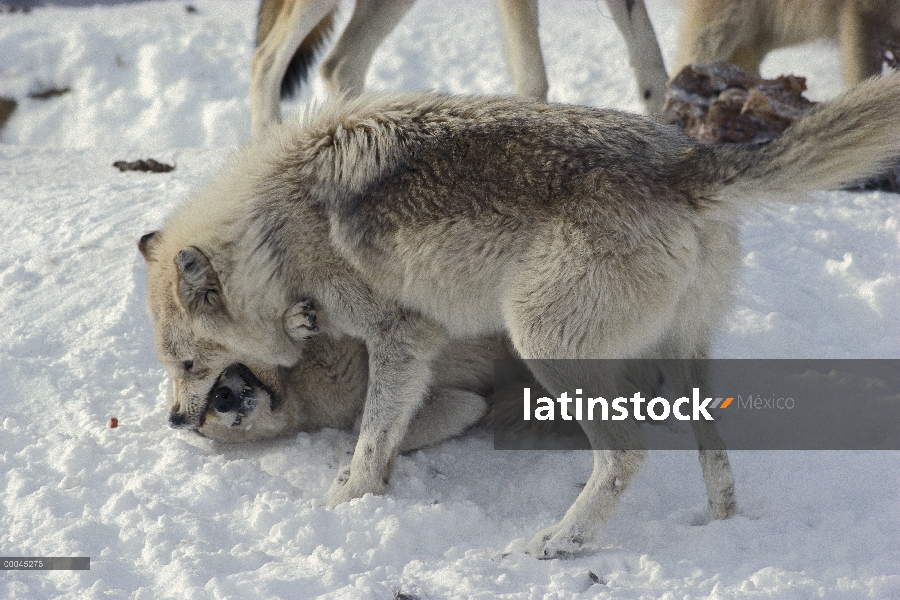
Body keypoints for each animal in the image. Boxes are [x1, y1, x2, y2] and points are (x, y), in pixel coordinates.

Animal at [139, 74, 900, 556]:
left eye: (186, 364)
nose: (174, 420)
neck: (272, 233)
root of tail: (687, 162)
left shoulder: (403, 337)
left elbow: (370, 440)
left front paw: (341, 505)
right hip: (680, 357)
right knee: (713, 453)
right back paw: (719, 524)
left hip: (543, 342)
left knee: (626, 456)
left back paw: (561, 543)